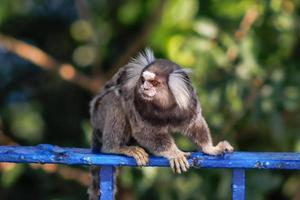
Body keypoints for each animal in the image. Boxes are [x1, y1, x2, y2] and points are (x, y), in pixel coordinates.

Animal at [88, 48, 233, 200]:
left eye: (154, 82)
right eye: (143, 80)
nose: (144, 88)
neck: (164, 108)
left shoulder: (189, 104)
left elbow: (196, 124)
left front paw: (210, 148)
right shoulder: (136, 104)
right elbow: (145, 132)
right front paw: (174, 153)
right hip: (99, 113)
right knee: (115, 100)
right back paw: (115, 148)